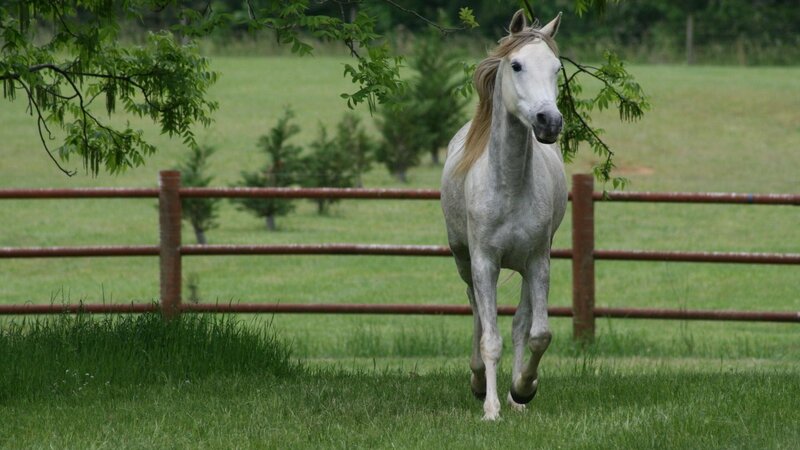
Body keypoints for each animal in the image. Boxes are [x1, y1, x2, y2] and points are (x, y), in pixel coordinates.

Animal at [440, 10, 567, 421]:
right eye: (516, 65)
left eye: (557, 68)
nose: (549, 122)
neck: (509, 186)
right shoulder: (484, 263)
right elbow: (490, 338)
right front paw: (491, 409)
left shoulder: (538, 262)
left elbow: (536, 333)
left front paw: (523, 390)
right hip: (464, 262)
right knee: (477, 314)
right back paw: (480, 382)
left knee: (520, 324)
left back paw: (514, 398)